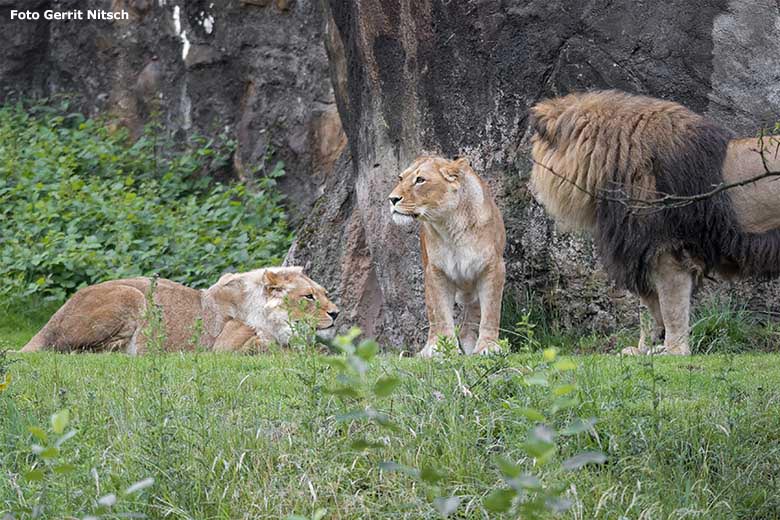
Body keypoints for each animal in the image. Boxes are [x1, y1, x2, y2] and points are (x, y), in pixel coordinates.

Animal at [19, 268, 338, 354]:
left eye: (326, 293)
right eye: (308, 296)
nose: (336, 314)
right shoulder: (226, 346)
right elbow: (270, 348)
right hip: (133, 294)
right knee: (70, 350)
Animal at [388, 156, 506, 356]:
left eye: (420, 180)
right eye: (400, 178)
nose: (392, 199)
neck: (450, 225)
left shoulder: (493, 267)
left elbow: (491, 311)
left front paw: (487, 347)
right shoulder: (436, 271)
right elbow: (441, 313)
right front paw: (443, 349)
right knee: (433, 316)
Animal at [532, 91, 780, 356]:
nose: (532, 191)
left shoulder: (668, 251)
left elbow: (671, 309)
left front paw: (674, 351)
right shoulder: (640, 251)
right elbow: (648, 310)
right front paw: (643, 350)